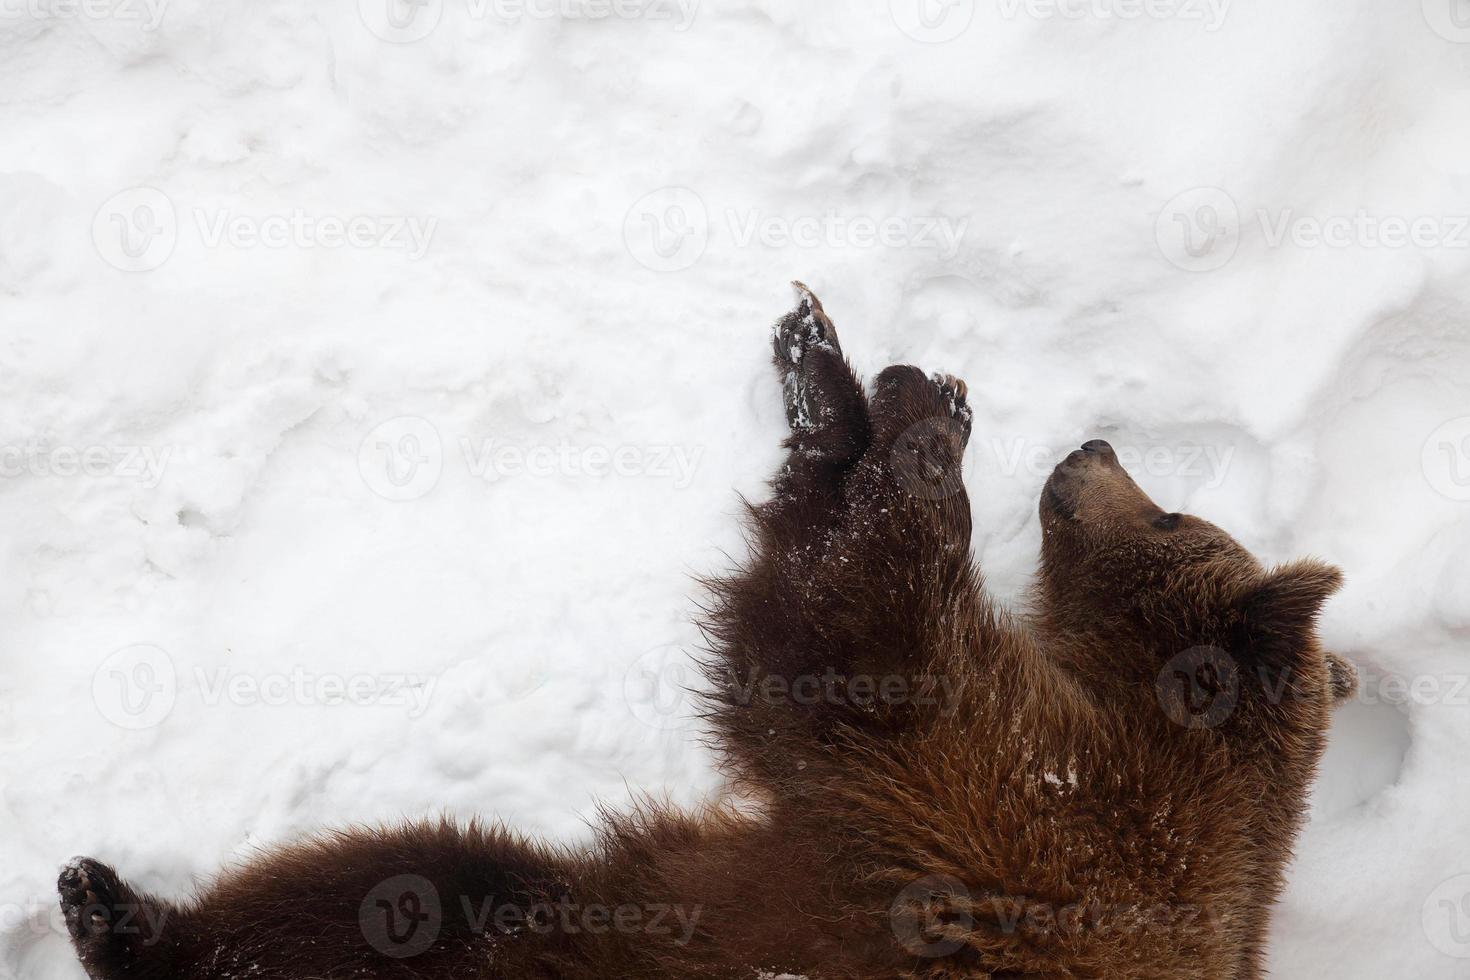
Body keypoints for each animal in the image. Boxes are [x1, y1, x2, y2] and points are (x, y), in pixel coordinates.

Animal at [63, 285, 1358, 980]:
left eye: (1178, 510)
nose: (1090, 449)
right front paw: (883, 379)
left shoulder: (1027, 810)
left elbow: (842, 638)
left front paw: (872, 399)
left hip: (558, 935)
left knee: (378, 890)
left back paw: (113, 910)